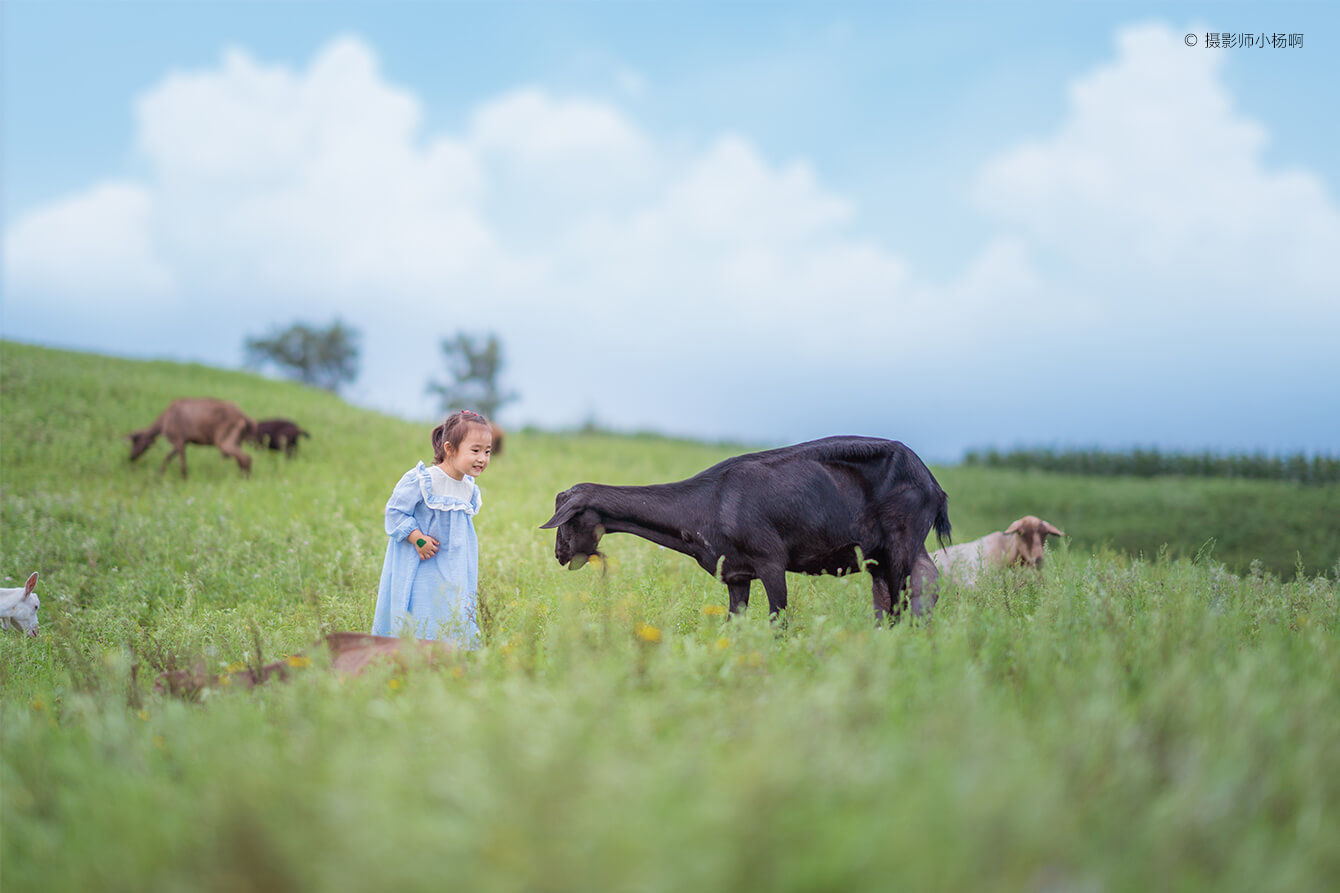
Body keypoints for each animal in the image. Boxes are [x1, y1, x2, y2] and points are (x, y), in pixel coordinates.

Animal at [129, 396, 257, 477]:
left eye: (135, 442)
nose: (131, 457)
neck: (162, 422)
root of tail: (244, 417)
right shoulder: (182, 442)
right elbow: (167, 457)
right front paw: (160, 474)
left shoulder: (178, 439)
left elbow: (181, 463)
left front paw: (184, 479)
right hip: (237, 440)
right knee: (242, 459)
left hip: (223, 440)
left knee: (246, 458)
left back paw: (245, 478)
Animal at [538, 437, 948, 619]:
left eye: (567, 520)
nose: (559, 555)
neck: (708, 503)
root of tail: (932, 483)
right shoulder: (735, 574)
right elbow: (736, 624)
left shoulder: (771, 561)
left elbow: (777, 619)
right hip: (884, 555)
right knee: (919, 586)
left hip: (900, 542)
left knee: (902, 599)